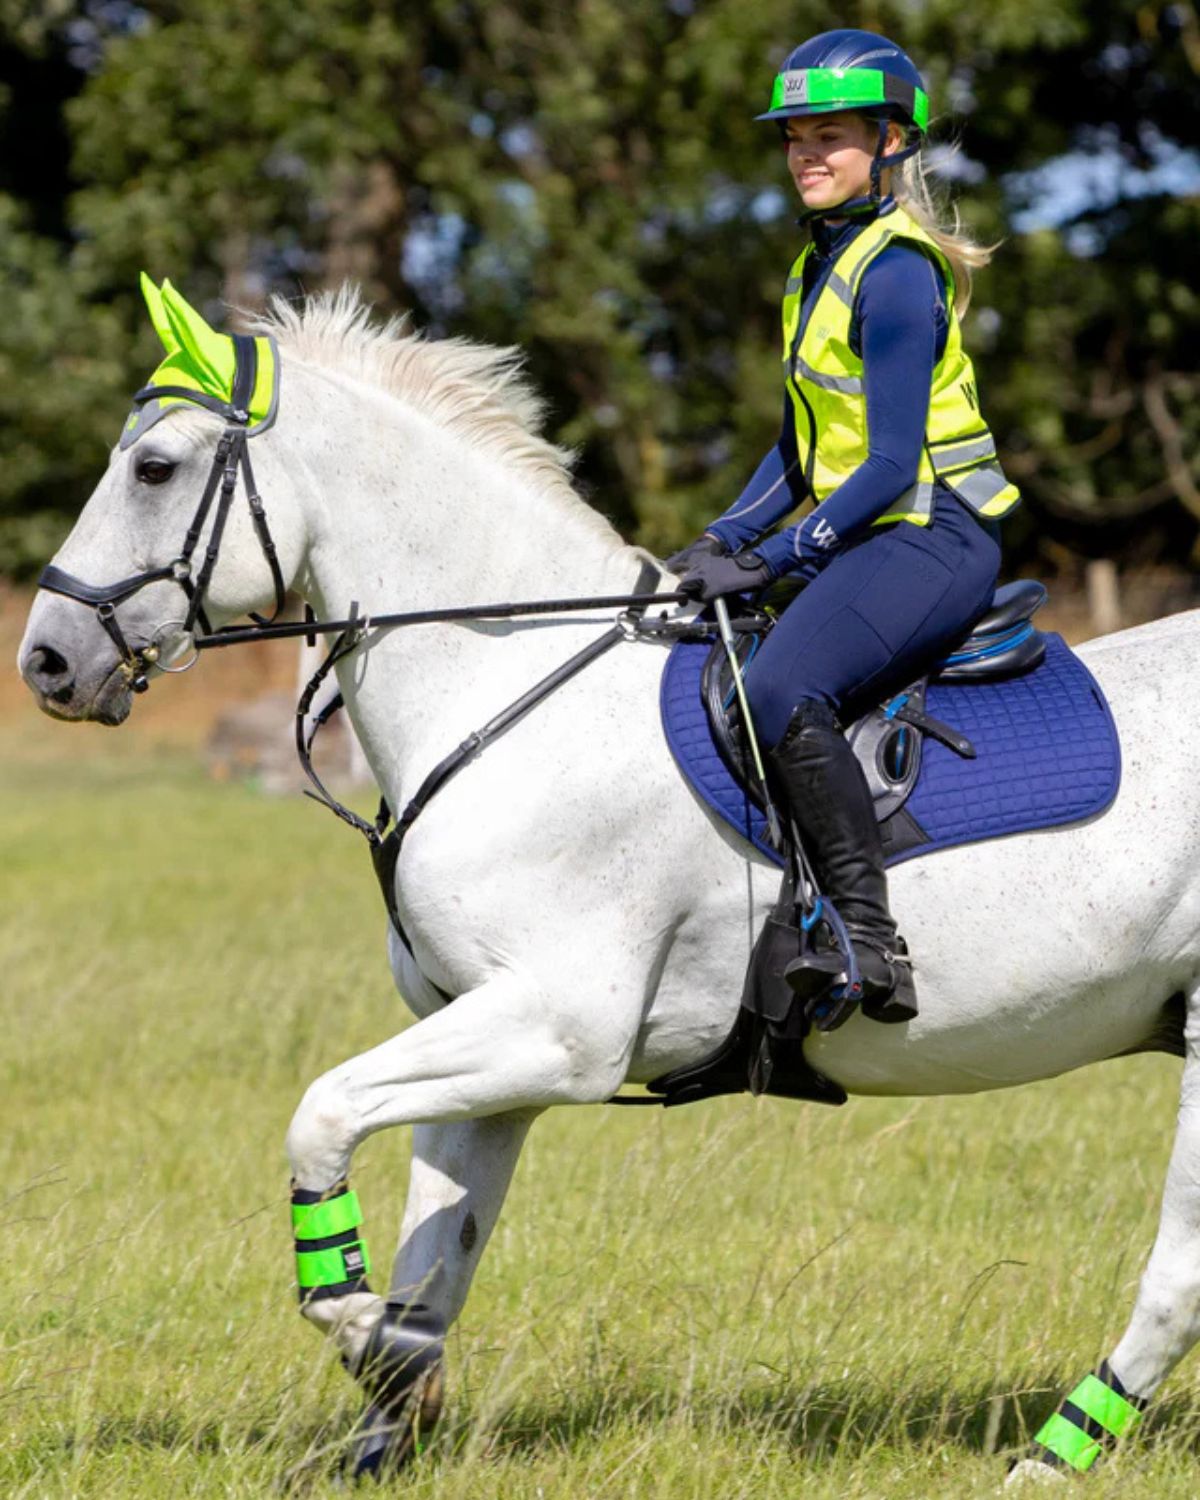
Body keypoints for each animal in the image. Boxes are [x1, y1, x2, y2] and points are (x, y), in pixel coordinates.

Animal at [18, 285, 1200, 1484]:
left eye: (153, 468)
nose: (49, 661)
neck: (503, 683)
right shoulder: (488, 1040)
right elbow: (438, 1256)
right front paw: (393, 1403)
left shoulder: (558, 1030)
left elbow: (322, 1116)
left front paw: (356, 1323)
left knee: (1175, 1274)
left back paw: (1053, 1454)